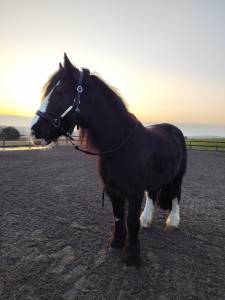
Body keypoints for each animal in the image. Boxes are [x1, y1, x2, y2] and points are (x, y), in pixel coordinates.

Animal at [31, 54, 186, 268]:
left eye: (59, 92)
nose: (34, 131)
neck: (121, 145)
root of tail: (174, 129)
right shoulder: (113, 190)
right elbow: (119, 217)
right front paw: (117, 243)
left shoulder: (134, 191)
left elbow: (131, 222)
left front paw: (132, 257)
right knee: (153, 195)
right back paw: (147, 220)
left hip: (178, 176)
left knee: (176, 195)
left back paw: (173, 222)